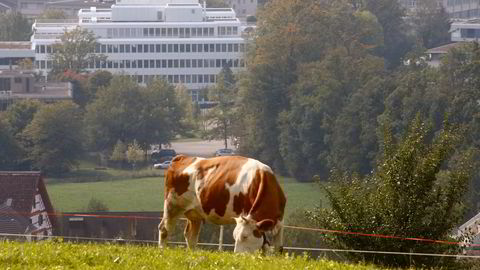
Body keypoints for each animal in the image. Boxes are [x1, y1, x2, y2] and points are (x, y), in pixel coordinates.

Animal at [158, 154, 286, 253]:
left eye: (245, 236)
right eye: (235, 236)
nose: (238, 256)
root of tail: (182, 157)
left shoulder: (279, 222)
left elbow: (277, 247)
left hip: (194, 214)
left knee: (190, 236)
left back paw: (192, 253)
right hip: (172, 205)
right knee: (164, 229)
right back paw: (162, 251)